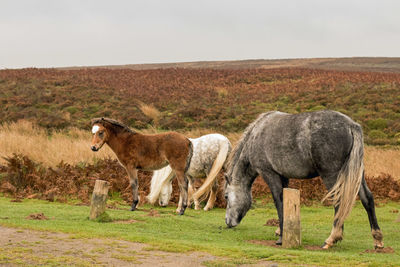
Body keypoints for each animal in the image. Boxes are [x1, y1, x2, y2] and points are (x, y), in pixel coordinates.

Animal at [225, 110, 384, 250]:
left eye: (226, 196)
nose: (227, 222)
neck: (256, 134)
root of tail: (351, 125)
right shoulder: (284, 176)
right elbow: (283, 202)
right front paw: (281, 230)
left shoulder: (269, 174)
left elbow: (278, 202)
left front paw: (281, 238)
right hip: (358, 175)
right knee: (367, 199)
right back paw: (377, 239)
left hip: (332, 175)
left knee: (339, 202)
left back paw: (331, 239)